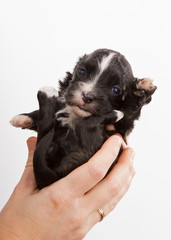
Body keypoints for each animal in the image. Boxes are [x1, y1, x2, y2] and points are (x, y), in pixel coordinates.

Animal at [10, 48, 157, 188]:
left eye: (116, 90)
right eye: (82, 71)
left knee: (82, 126)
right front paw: (24, 118)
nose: (87, 96)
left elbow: (131, 107)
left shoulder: (124, 123)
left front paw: (142, 87)